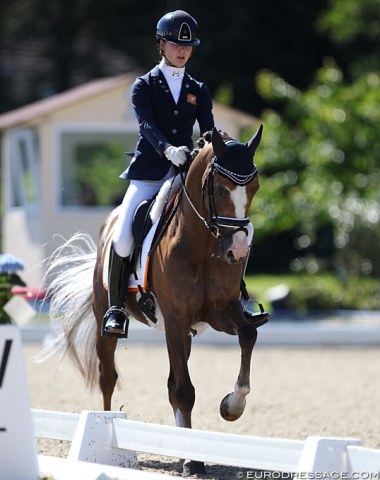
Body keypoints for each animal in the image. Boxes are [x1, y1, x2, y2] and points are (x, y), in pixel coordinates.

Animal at [44, 124, 264, 476]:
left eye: (255, 187)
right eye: (218, 188)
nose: (238, 250)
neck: (203, 243)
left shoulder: (220, 312)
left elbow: (248, 335)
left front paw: (232, 406)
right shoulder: (175, 319)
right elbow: (185, 391)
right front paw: (194, 461)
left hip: (184, 334)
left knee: (172, 384)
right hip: (108, 320)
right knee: (109, 378)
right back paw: (107, 439)